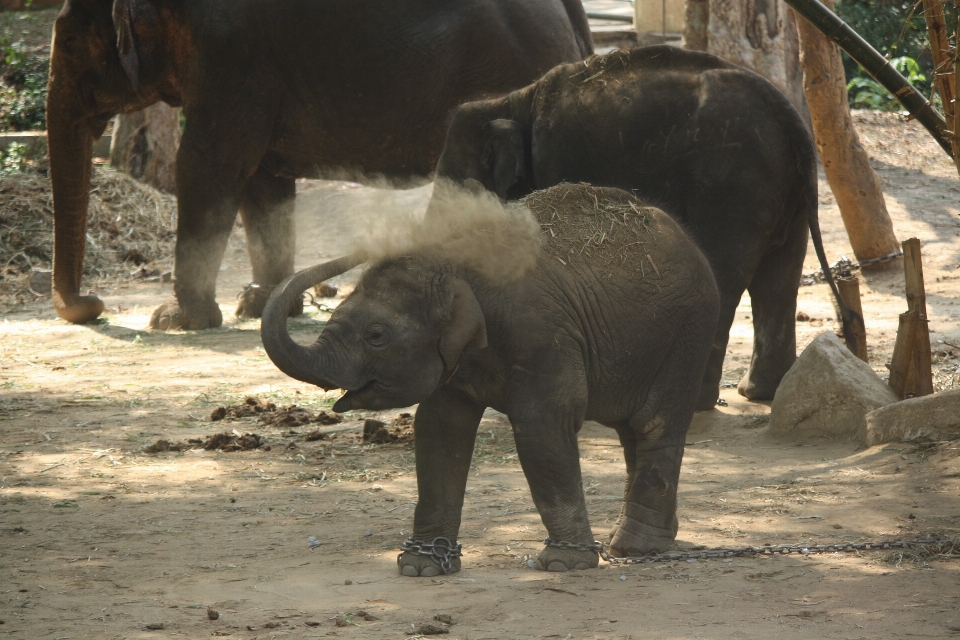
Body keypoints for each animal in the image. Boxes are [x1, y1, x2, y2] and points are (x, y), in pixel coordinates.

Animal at [52, 0, 596, 330]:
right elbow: (263, 183)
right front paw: (262, 305)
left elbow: (208, 166)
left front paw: (175, 320)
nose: (95, 306)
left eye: (72, 45)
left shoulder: (230, 58)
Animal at [262, 184, 720, 576]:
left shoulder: (542, 335)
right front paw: (421, 566)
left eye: (376, 336)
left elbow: (543, 428)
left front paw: (564, 563)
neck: (452, 262)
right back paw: (651, 541)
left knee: (654, 424)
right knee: (632, 433)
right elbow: (439, 429)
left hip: (688, 333)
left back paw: (635, 548)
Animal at [436, 45, 864, 410]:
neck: (511, 102)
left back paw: (696, 403)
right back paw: (758, 392)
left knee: (725, 275)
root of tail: (792, 121)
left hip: (733, 188)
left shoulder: (556, 159)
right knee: (778, 278)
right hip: (787, 196)